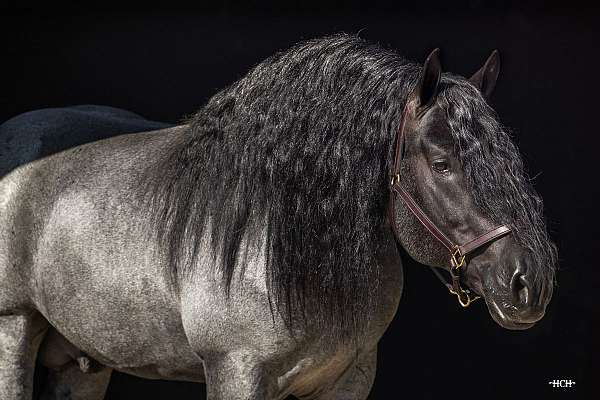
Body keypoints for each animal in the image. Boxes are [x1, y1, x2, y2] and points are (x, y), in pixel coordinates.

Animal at [0, 35, 556, 400]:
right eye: (442, 164)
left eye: (509, 160)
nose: (529, 283)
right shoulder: (237, 373)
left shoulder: (348, 382)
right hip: (14, 331)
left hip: (83, 362)